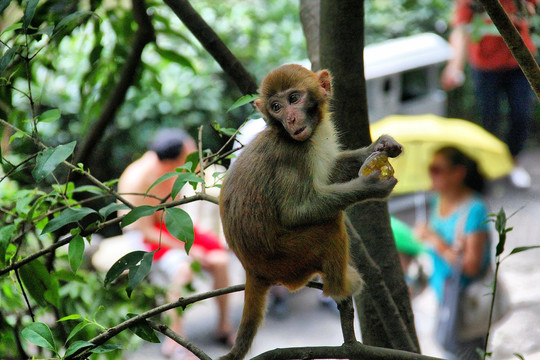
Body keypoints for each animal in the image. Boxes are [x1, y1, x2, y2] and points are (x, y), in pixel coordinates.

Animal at [218, 64, 400, 360]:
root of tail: (251, 269)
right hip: (288, 259)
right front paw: (370, 185)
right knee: (329, 227)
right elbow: (294, 212)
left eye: (294, 99)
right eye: (276, 107)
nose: (290, 119)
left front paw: (381, 146)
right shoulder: (291, 156)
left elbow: (331, 171)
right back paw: (339, 288)